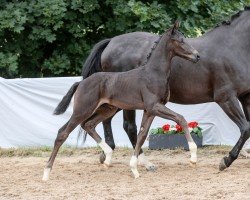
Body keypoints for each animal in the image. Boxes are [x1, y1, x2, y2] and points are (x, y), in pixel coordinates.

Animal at [42, 21, 199, 180]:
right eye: (181, 40)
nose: (197, 56)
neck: (153, 73)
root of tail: (80, 83)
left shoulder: (150, 110)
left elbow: (142, 135)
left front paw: (134, 168)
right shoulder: (154, 106)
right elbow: (181, 119)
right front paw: (193, 157)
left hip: (106, 109)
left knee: (88, 125)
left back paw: (108, 156)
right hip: (83, 110)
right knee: (63, 133)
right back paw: (46, 173)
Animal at [81, 6, 250, 172]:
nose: (196, 56)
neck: (232, 47)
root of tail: (111, 42)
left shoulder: (245, 97)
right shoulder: (226, 98)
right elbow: (246, 128)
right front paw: (226, 160)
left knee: (106, 120)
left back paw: (106, 154)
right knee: (129, 127)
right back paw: (144, 163)